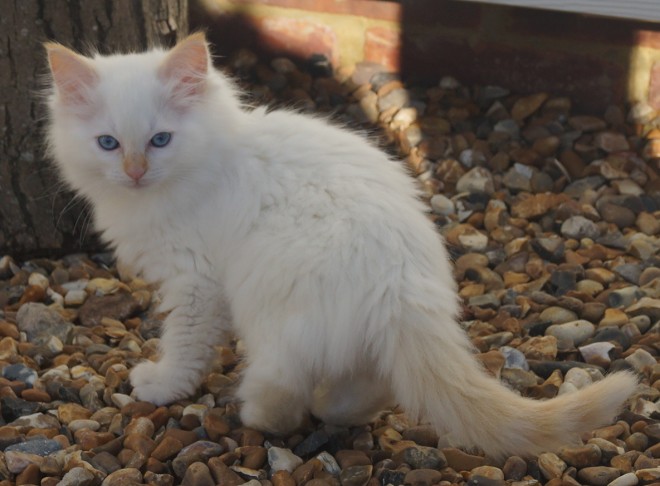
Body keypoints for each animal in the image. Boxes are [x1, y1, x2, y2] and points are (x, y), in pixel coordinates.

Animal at [43, 35, 636, 460]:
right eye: (108, 144)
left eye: (160, 140)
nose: (134, 172)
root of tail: (402, 286)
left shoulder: (196, 283)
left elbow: (185, 345)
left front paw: (162, 384)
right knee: (373, 383)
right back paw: (337, 409)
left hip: (268, 303)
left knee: (285, 390)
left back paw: (256, 413)